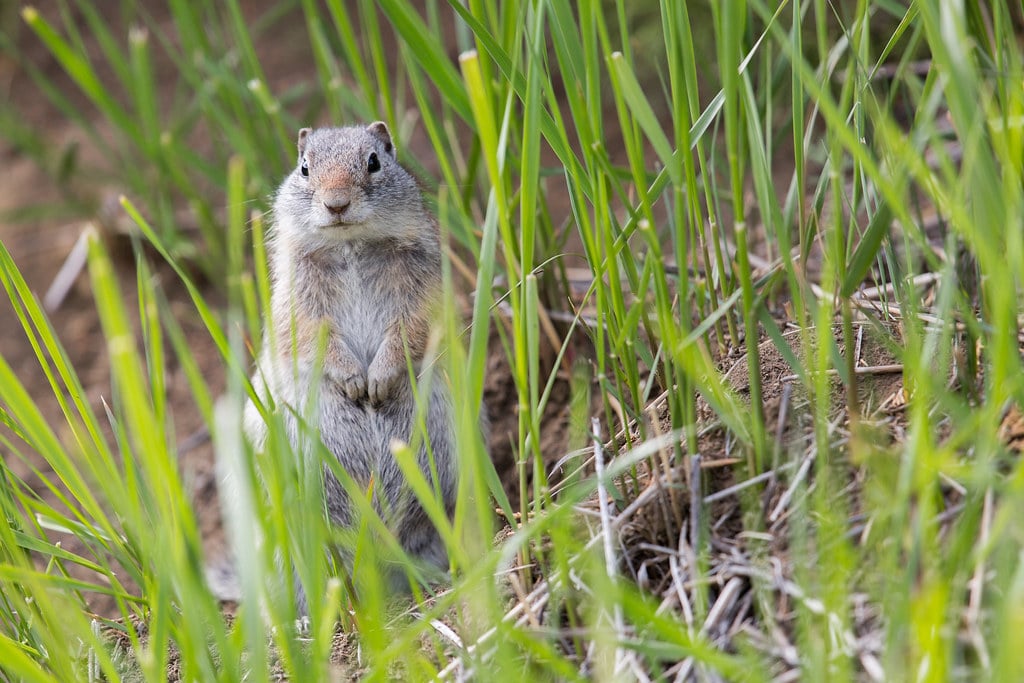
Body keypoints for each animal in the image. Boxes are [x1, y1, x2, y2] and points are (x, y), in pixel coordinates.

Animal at [242, 121, 456, 602]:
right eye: (305, 167)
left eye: (375, 160)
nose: (336, 203)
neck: (350, 244)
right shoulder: (297, 301)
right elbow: (310, 335)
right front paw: (354, 381)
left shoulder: (422, 291)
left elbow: (410, 330)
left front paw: (378, 380)